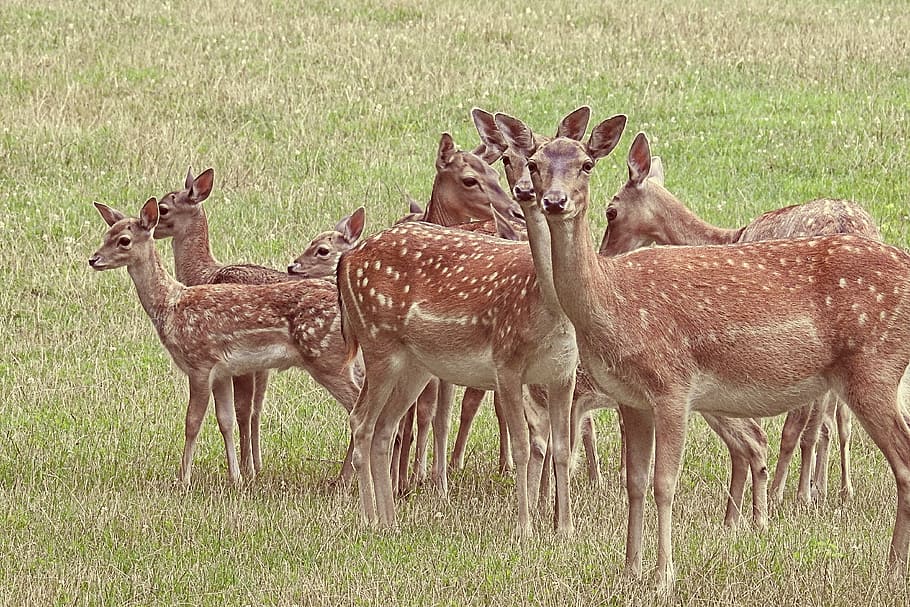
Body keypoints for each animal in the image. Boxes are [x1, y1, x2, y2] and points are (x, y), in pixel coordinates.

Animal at [89, 198, 362, 486]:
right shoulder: (221, 371)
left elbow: (192, 422)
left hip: (327, 357)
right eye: (106, 235)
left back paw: (345, 479)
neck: (171, 306)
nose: (93, 259)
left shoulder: (200, 363)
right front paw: (236, 478)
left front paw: (183, 479)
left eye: (124, 240)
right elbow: (226, 419)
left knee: (358, 410)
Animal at [488, 110, 769, 528]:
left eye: (587, 165)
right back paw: (735, 522)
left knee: (757, 440)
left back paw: (759, 519)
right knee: (748, 443)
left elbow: (561, 451)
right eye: (529, 162)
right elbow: (548, 449)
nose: (546, 198)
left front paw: (554, 519)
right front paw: (544, 513)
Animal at [599, 132, 880, 505]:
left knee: (806, 424)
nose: (603, 253)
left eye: (611, 211)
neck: (731, 236)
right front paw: (819, 488)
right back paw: (829, 489)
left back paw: (787, 493)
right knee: (834, 420)